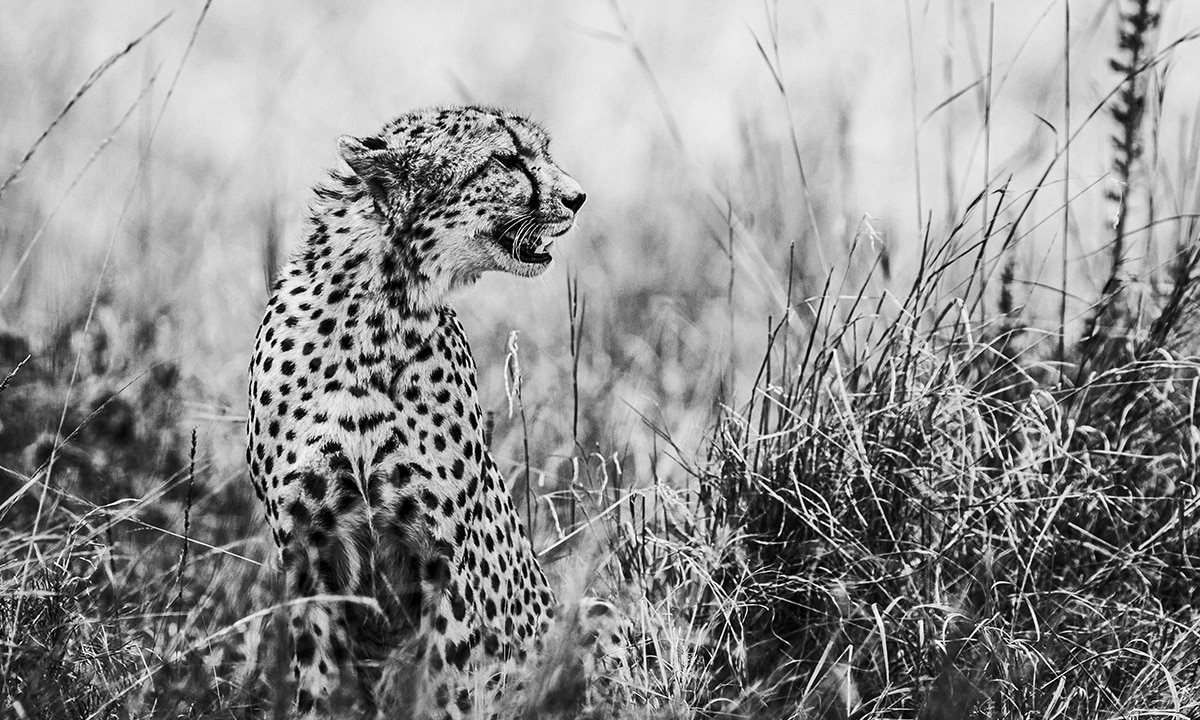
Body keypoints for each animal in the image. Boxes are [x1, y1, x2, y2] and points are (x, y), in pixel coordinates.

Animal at [247, 103, 590, 715]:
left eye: (543, 152)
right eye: (506, 159)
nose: (578, 197)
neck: (376, 318)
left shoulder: (440, 558)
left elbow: (448, 680)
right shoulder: (308, 554)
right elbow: (317, 681)